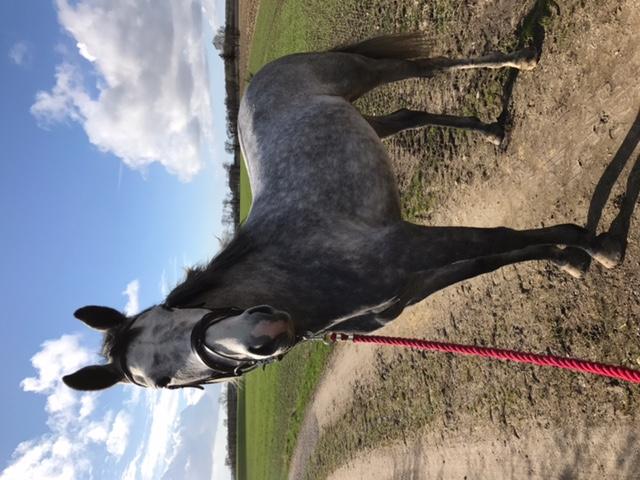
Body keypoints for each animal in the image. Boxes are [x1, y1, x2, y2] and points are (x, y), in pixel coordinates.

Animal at [62, 34, 624, 394]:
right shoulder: (414, 282)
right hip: (366, 116)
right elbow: (495, 258)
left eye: (179, 311)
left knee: (426, 69)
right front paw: (568, 257)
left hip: (363, 72)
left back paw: (523, 60)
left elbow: (500, 237)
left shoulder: (414, 247)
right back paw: (490, 130)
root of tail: (258, 78)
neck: (294, 271)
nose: (263, 336)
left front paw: (595, 246)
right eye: (160, 383)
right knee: (405, 115)